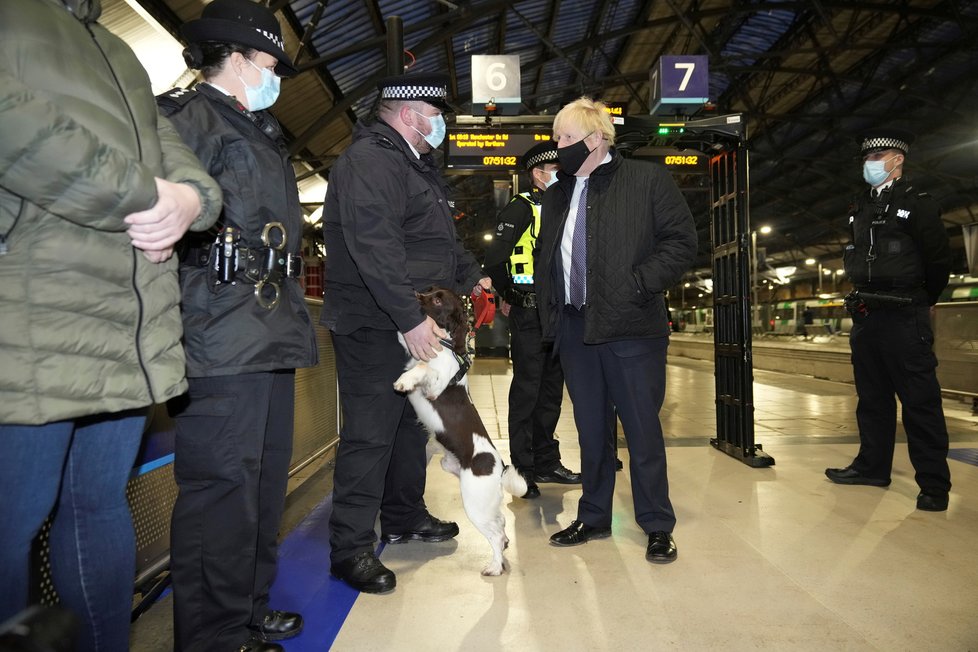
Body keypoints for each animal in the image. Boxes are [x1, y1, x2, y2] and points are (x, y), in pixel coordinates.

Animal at [392, 286, 528, 576]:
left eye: (437, 299)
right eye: (429, 289)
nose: (415, 293)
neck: (445, 346)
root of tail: (499, 469)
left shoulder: (434, 385)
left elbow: (423, 367)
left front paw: (404, 381)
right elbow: (410, 343)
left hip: (474, 503)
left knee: (495, 534)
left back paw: (495, 566)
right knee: (500, 523)